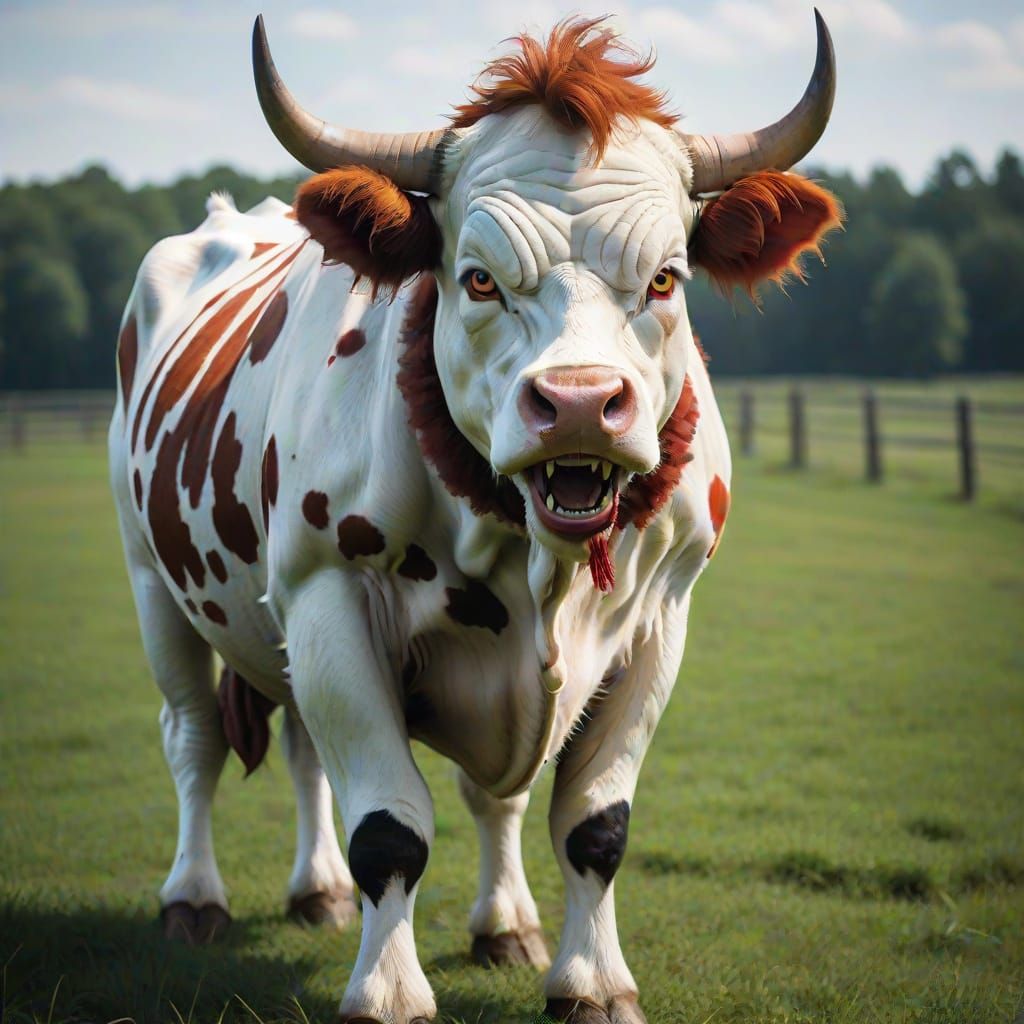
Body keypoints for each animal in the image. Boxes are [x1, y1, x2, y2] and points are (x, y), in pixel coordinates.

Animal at [109, 12, 841, 1023]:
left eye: (665, 278)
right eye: (478, 278)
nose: (580, 403)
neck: (533, 559)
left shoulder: (661, 620)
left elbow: (591, 824)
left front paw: (587, 977)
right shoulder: (328, 598)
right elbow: (390, 826)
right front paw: (388, 991)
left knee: (331, 759)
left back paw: (352, 897)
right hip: (155, 582)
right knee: (194, 739)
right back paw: (194, 898)